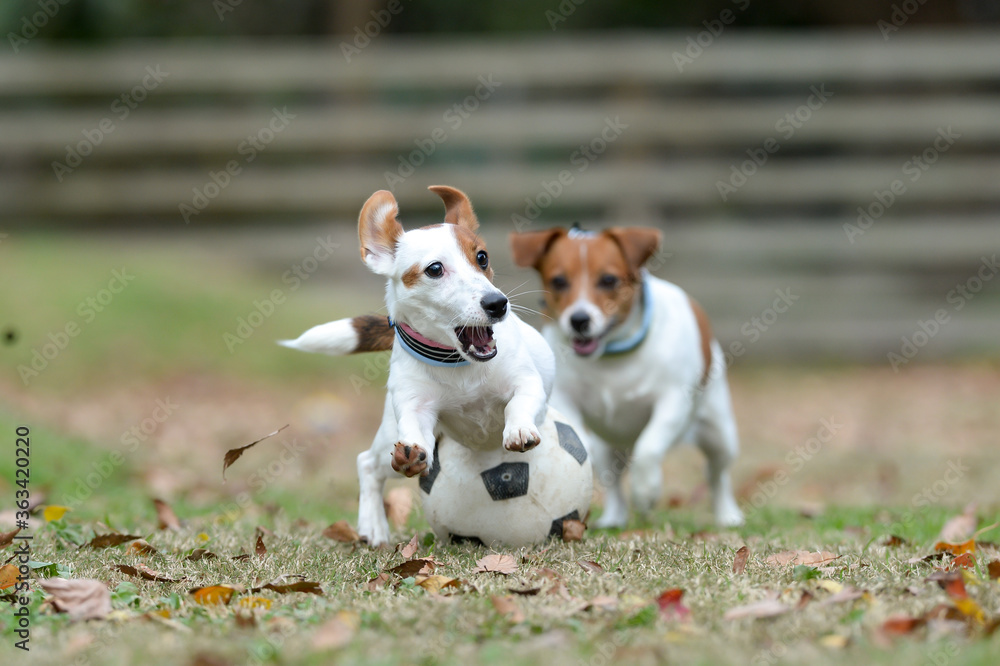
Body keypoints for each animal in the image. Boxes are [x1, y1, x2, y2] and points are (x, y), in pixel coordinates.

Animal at [512, 226, 740, 528]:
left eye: (608, 280)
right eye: (558, 281)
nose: (579, 319)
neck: (611, 354)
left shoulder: (673, 400)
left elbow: (649, 447)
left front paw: (646, 491)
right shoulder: (565, 397)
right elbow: (583, 443)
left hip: (719, 435)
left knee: (717, 475)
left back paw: (728, 514)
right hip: (611, 451)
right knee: (614, 481)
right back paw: (613, 518)